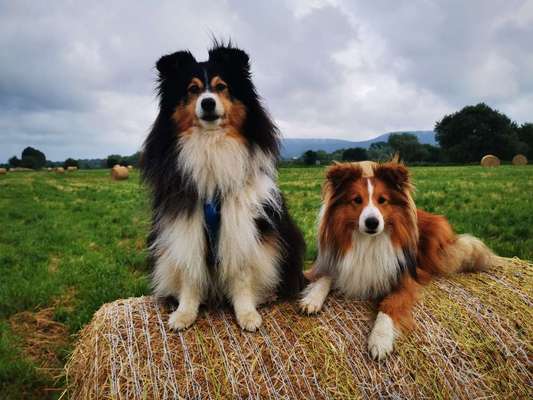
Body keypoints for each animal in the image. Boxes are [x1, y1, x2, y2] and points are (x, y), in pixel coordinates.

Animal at [141, 43, 306, 332]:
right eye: (192, 89)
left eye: (221, 86)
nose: (208, 103)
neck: (211, 141)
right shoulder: (186, 224)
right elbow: (190, 273)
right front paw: (184, 313)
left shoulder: (240, 221)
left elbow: (241, 273)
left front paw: (247, 314)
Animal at [300, 161, 494, 360]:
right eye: (357, 200)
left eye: (382, 200)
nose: (372, 222)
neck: (368, 242)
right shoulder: (335, 263)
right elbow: (324, 277)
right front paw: (312, 298)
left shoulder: (404, 278)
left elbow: (389, 305)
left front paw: (380, 340)